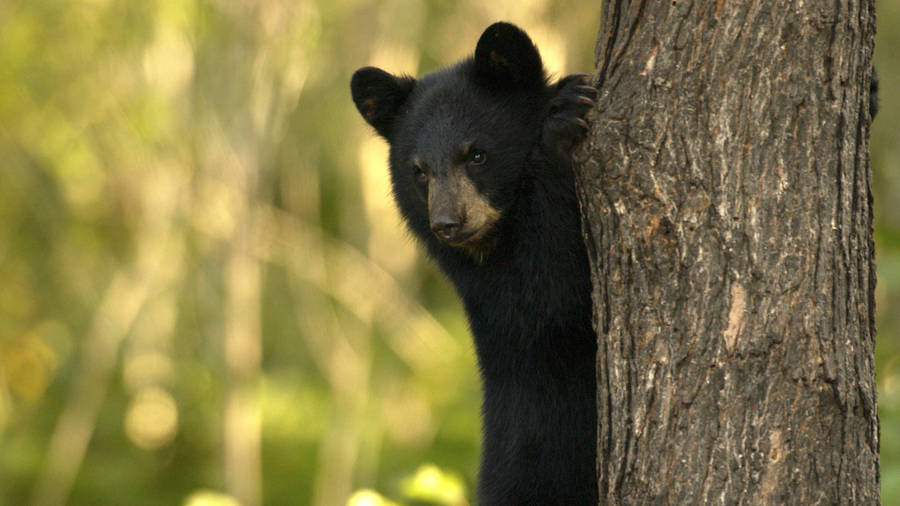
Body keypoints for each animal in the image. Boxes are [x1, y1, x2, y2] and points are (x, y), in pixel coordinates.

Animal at [352, 22, 596, 502]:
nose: (447, 223)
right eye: (420, 170)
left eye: (477, 154)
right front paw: (564, 121)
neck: (498, 238)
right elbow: (558, 286)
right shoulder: (501, 289)